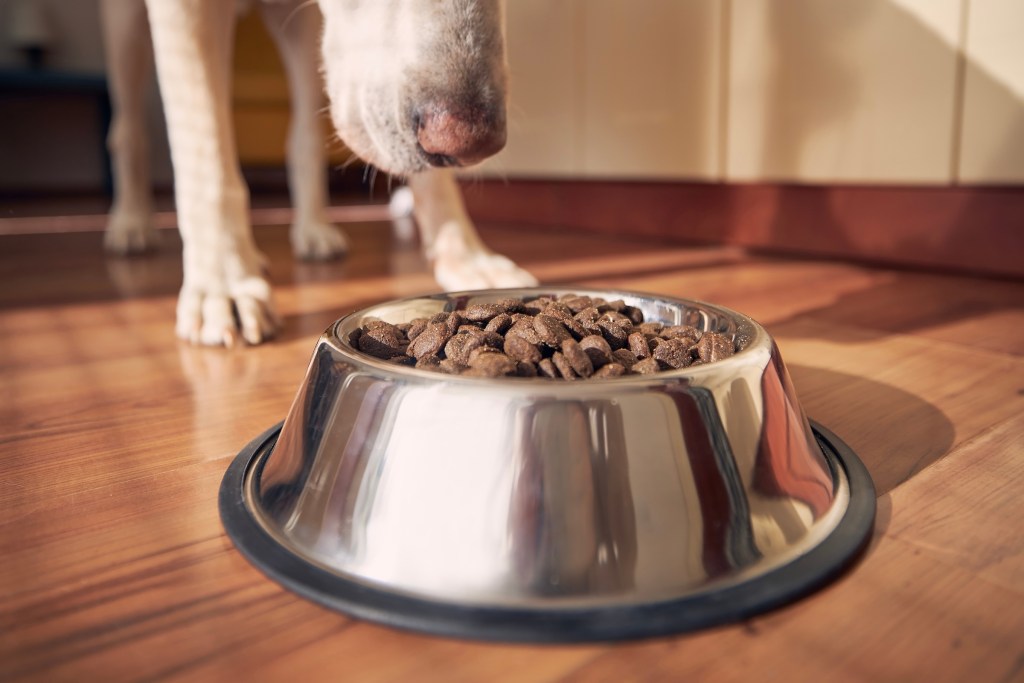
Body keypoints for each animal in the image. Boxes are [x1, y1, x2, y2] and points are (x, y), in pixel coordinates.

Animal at [99, 0, 540, 348]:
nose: (473, 144)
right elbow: (207, 153)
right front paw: (224, 280)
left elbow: (429, 174)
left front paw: (466, 256)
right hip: (125, 25)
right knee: (128, 131)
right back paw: (132, 223)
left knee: (305, 139)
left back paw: (314, 231)